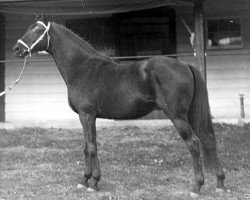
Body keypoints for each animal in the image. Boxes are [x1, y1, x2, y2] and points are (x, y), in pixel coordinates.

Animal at [12, 14, 229, 196]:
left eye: (37, 31)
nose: (17, 49)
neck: (82, 68)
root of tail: (184, 65)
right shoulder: (85, 117)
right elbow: (86, 148)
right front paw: (84, 180)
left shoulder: (87, 115)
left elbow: (92, 147)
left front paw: (94, 183)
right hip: (190, 114)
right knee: (209, 140)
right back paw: (220, 184)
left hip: (178, 117)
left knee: (193, 143)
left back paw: (197, 187)